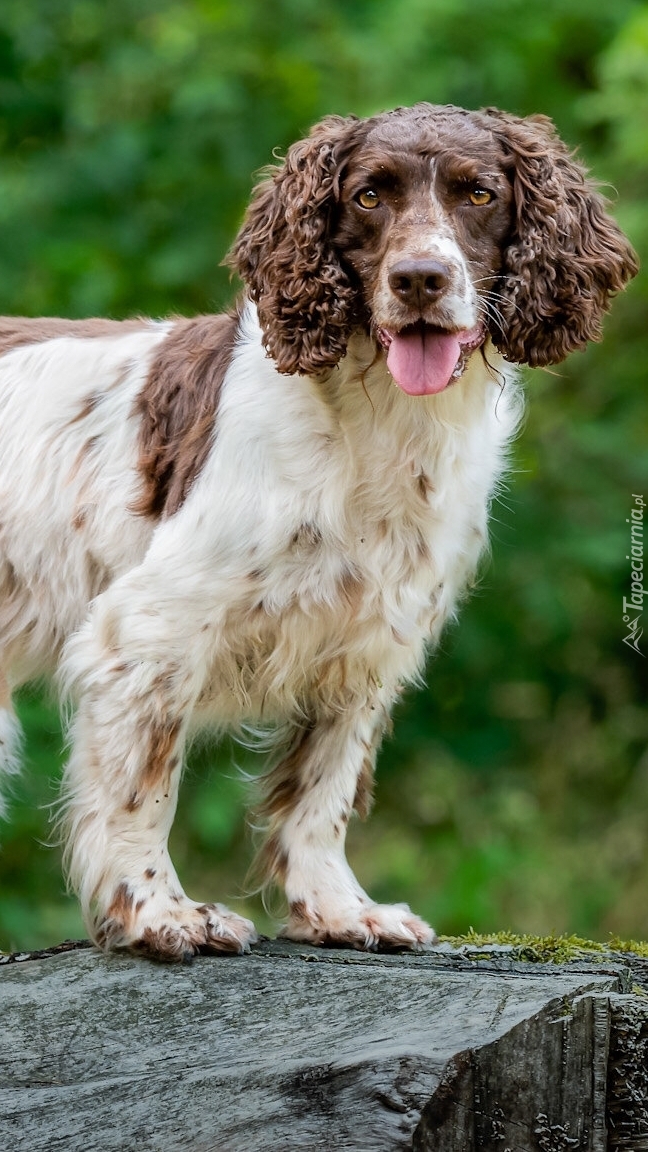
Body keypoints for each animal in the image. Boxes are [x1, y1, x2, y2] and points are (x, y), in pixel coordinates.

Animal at [0, 103, 636, 958]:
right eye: (368, 196)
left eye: (478, 193)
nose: (419, 280)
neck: (377, 422)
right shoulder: (147, 632)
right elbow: (144, 790)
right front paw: (161, 914)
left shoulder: (369, 642)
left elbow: (321, 793)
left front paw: (339, 910)